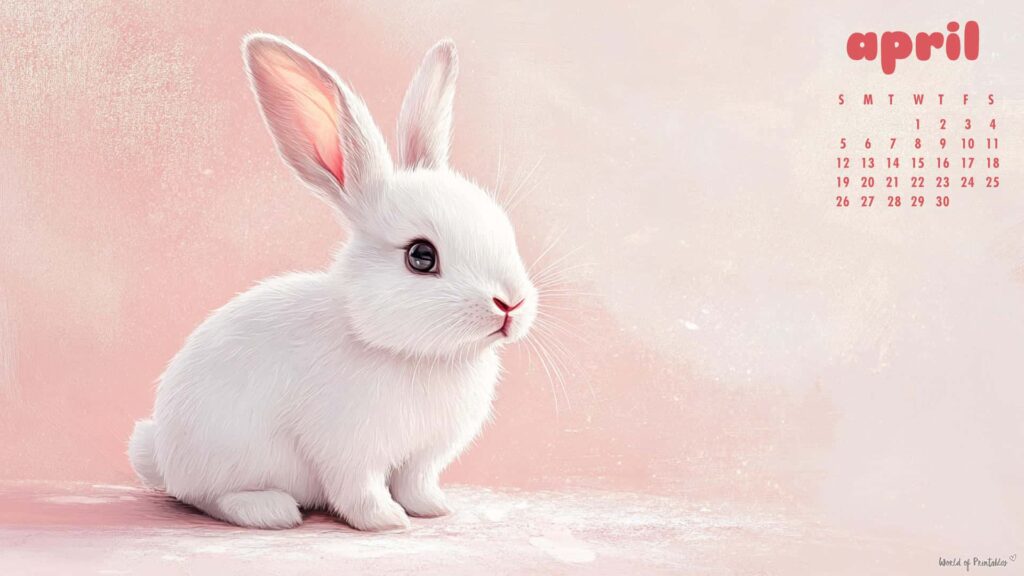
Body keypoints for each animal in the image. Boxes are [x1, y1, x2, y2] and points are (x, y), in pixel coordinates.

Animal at [127, 33, 538, 531]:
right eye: (421, 256)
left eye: (501, 225)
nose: (510, 304)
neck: (411, 353)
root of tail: (161, 453)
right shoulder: (348, 450)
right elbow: (359, 490)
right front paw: (387, 521)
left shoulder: (423, 457)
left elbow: (417, 483)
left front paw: (433, 509)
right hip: (225, 456)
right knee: (206, 497)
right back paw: (270, 510)